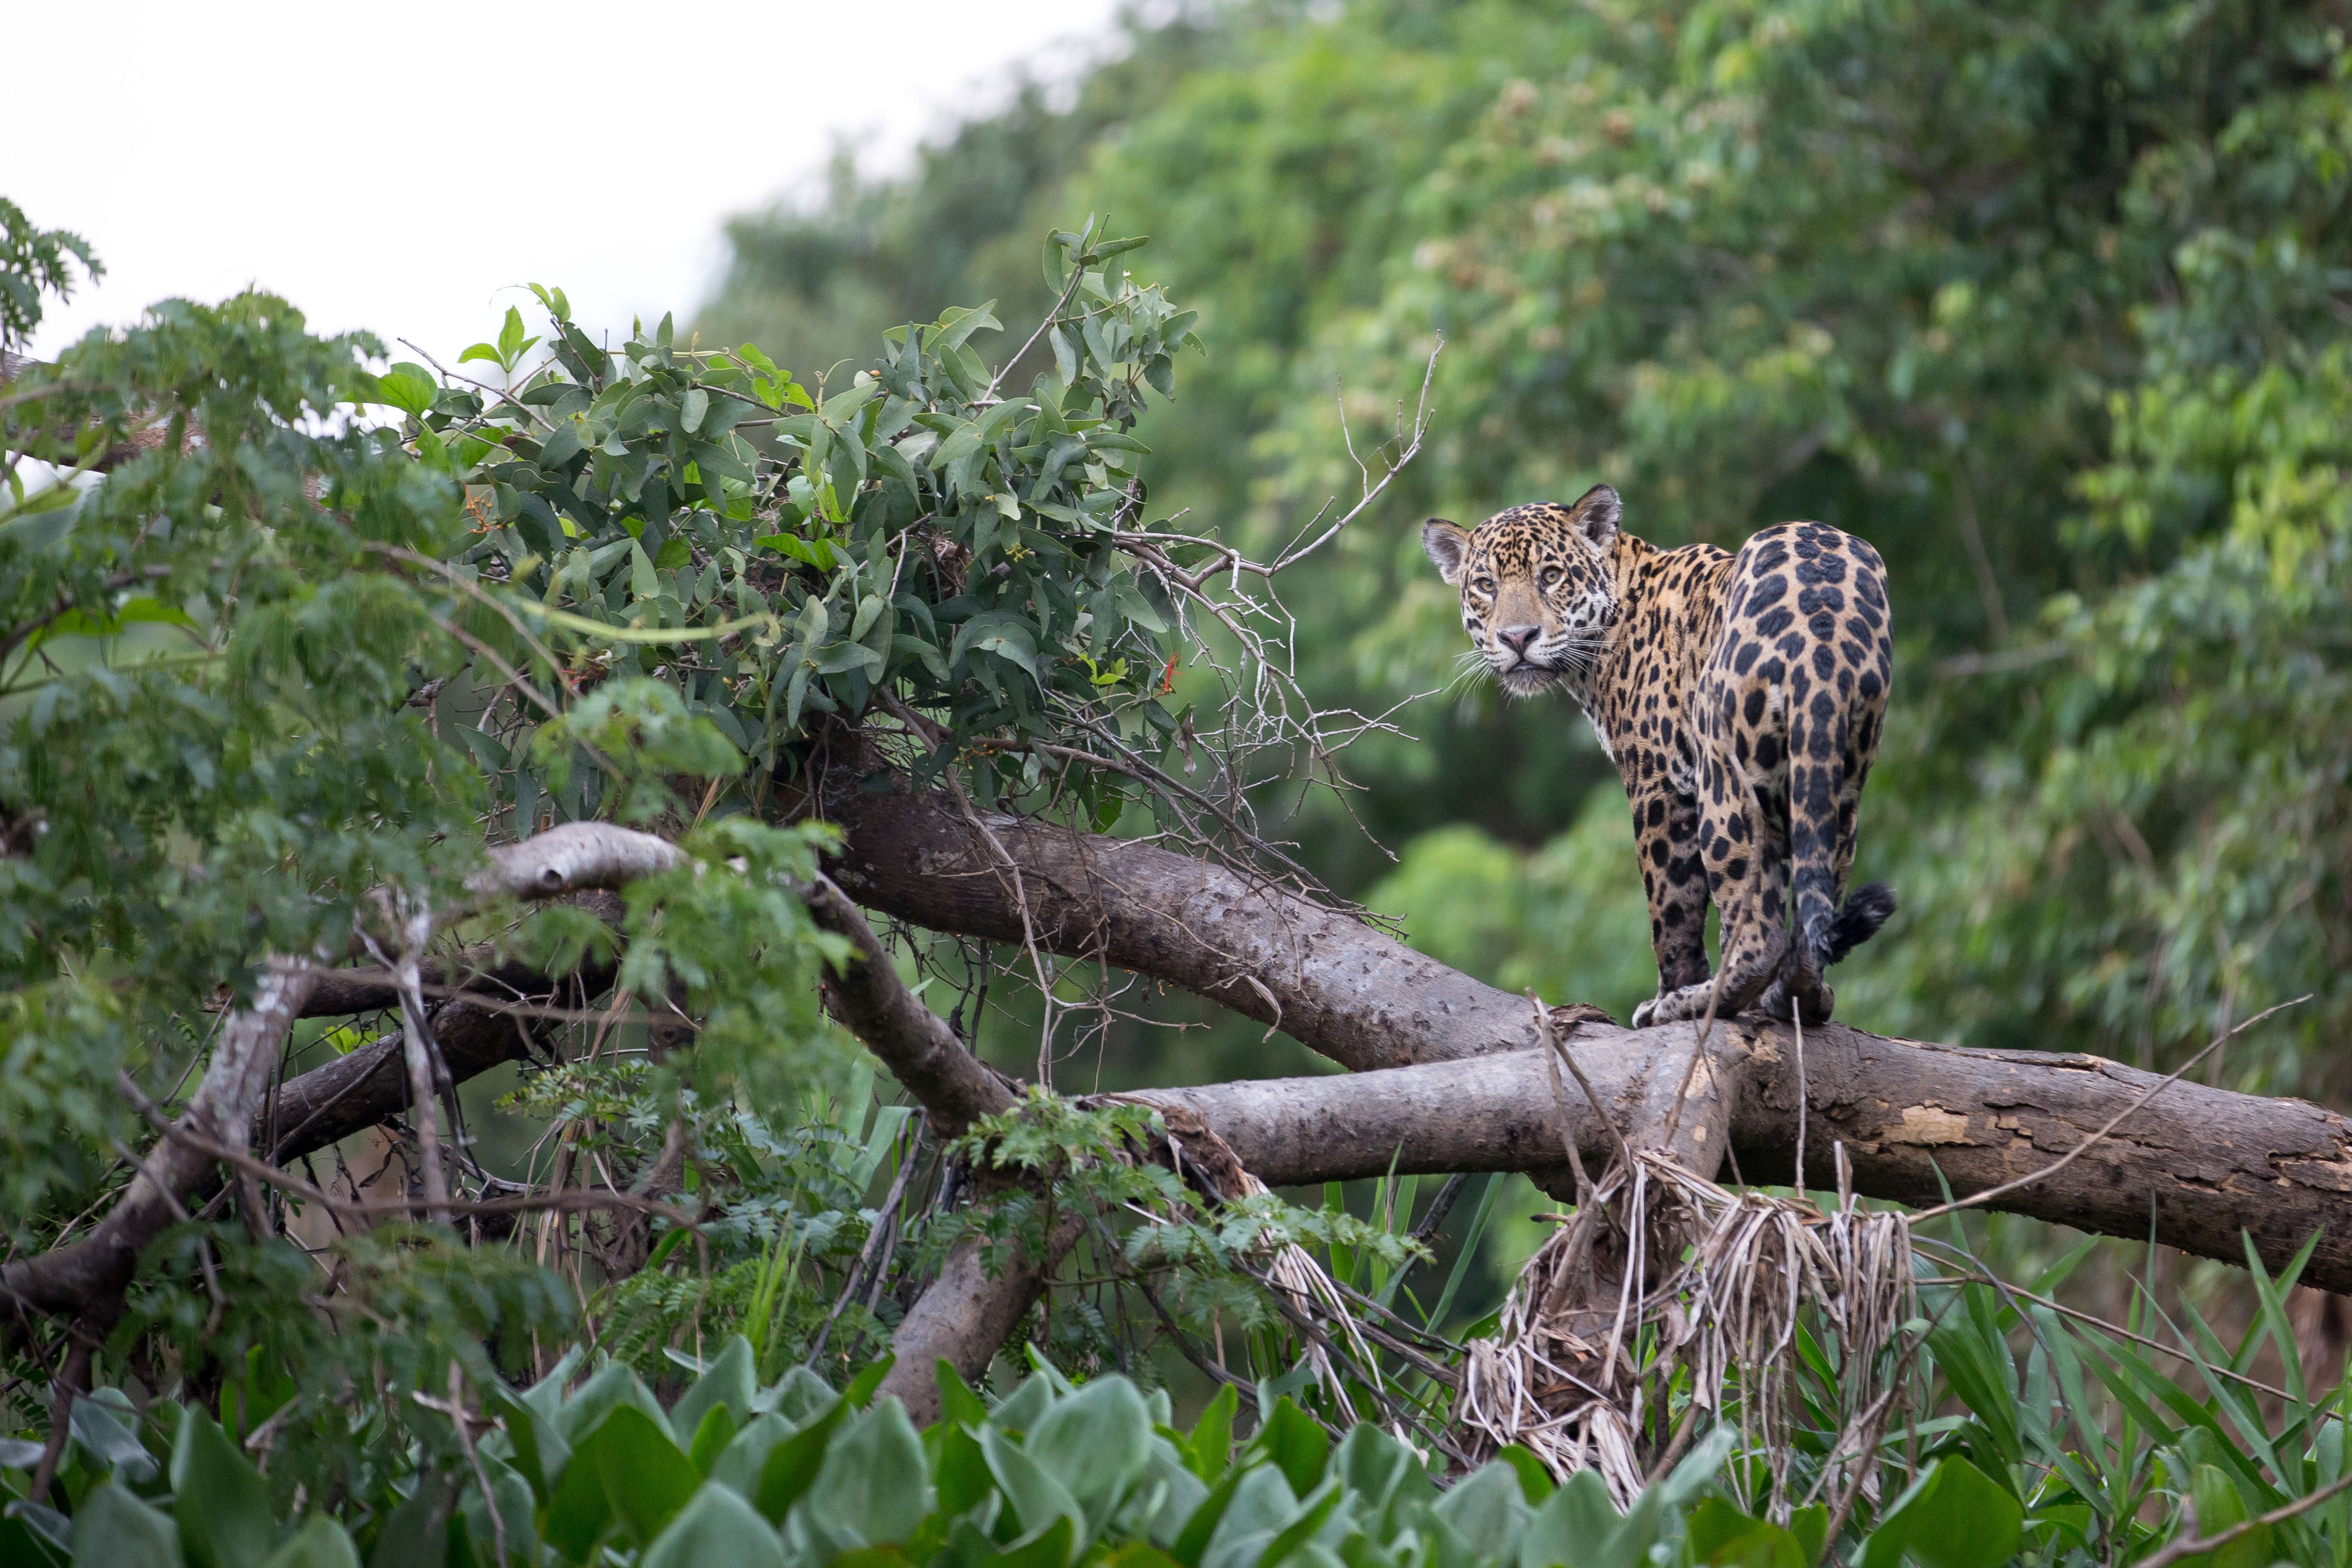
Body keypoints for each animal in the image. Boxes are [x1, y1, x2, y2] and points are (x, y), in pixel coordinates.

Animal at [1422, 484, 1896, 1027]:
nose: (1517, 637)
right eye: (1485, 585)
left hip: (1724, 780)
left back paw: (1696, 1001)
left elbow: (1671, 907)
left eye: (1551, 575)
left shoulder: (1659, 782)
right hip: (1838, 777)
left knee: (1758, 932)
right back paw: (1799, 996)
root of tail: (1821, 628)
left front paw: (1669, 991)